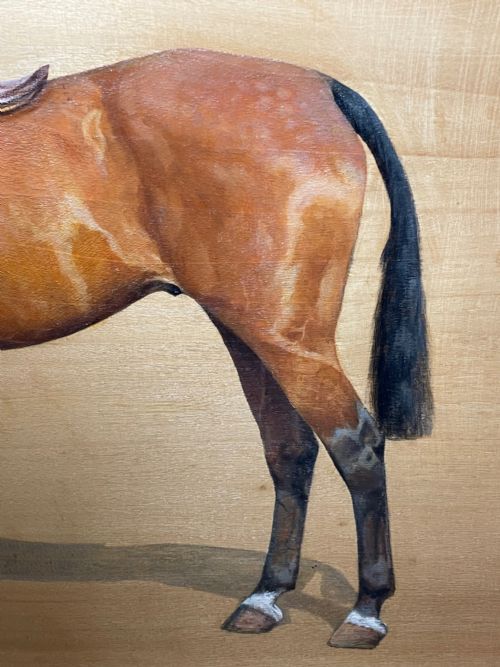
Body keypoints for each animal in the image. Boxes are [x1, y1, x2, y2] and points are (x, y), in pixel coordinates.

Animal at [0, 48, 432, 649]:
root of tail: (321, 85)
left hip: (288, 338)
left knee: (356, 446)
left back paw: (365, 611)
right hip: (249, 331)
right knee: (290, 450)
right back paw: (265, 596)